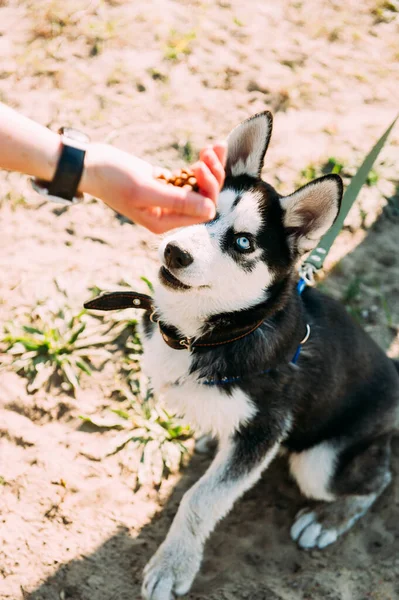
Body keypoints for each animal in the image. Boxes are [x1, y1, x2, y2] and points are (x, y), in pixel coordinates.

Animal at [141, 113, 399, 600]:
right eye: (202, 207)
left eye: (243, 243)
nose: (174, 252)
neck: (212, 333)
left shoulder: (265, 427)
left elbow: (199, 500)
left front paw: (172, 564)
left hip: (321, 461)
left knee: (378, 479)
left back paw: (327, 519)